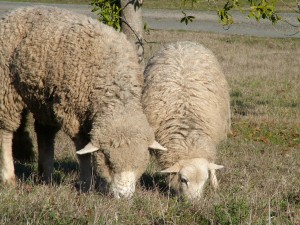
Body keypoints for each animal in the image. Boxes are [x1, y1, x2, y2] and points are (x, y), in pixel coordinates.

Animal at [0, 6, 166, 198]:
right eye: (108, 161)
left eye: (139, 163)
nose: (123, 196)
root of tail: (16, 11)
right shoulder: (73, 115)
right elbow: (83, 152)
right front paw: (87, 184)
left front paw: (100, 185)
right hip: (6, 87)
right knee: (6, 131)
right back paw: (8, 177)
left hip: (43, 97)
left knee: (45, 133)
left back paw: (46, 176)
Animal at [142, 41, 231, 201]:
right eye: (184, 180)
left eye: (204, 180)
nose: (194, 202)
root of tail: (182, 43)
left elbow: (212, 164)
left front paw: (214, 184)